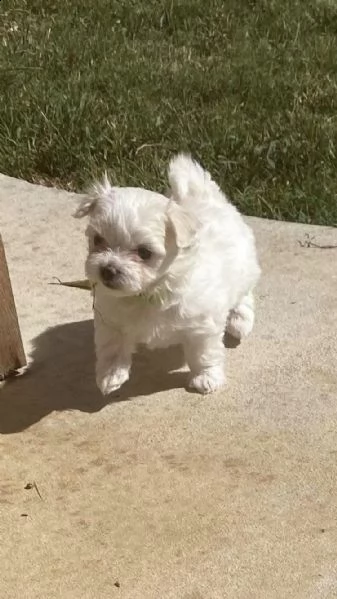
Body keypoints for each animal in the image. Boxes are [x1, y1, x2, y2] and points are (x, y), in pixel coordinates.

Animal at [75, 155, 260, 394]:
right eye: (97, 240)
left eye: (144, 253)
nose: (108, 270)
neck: (150, 291)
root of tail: (207, 197)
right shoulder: (110, 317)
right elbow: (112, 346)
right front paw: (110, 376)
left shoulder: (202, 325)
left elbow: (204, 353)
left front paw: (206, 377)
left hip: (244, 267)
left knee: (244, 294)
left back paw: (240, 322)